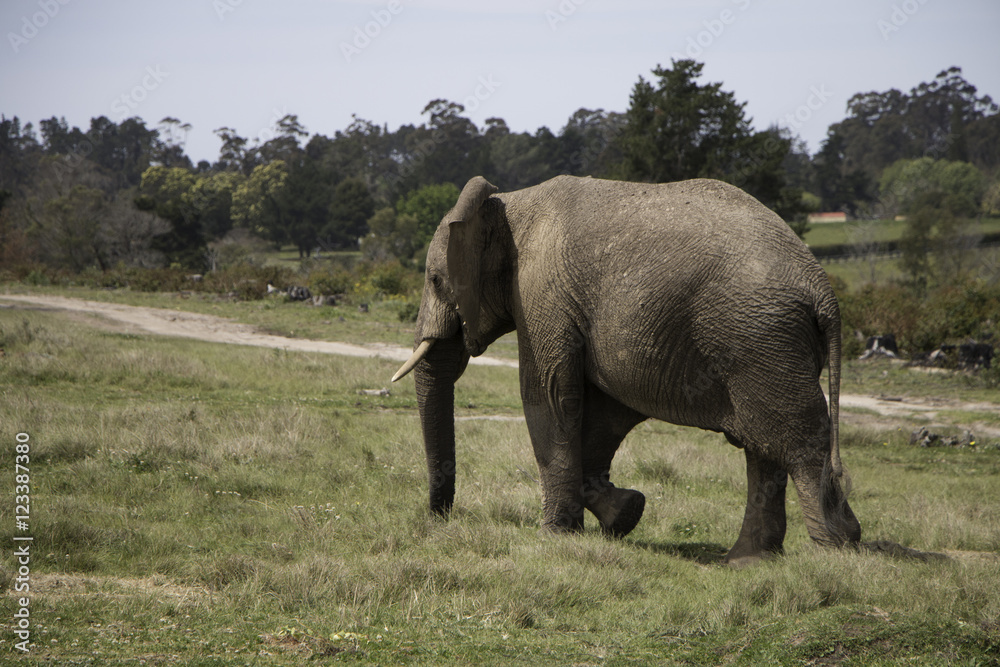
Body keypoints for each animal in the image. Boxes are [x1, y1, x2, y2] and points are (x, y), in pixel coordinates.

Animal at [392, 175, 861, 565]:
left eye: (435, 280)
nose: (440, 519)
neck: (510, 202)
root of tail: (822, 288)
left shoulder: (542, 294)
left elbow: (548, 396)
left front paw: (554, 537)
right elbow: (603, 412)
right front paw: (627, 513)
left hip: (760, 338)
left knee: (796, 442)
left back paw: (834, 554)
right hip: (763, 345)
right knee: (762, 446)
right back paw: (749, 561)